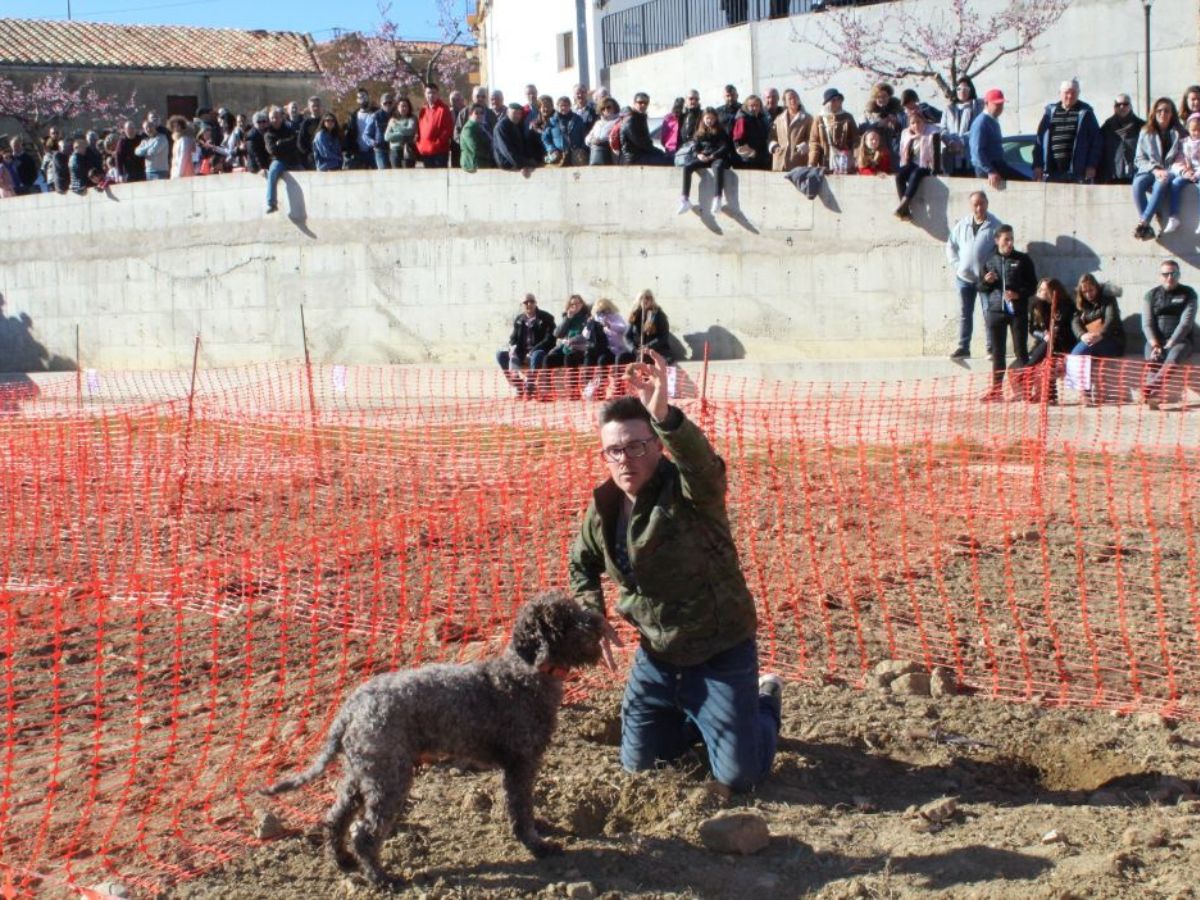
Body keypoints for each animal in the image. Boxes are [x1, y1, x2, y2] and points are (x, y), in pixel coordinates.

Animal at [260, 595, 600, 892]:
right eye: (564, 619)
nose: (597, 619)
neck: (524, 672)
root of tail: (351, 708)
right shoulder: (520, 762)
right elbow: (521, 809)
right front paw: (538, 845)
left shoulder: (521, 766)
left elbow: (524, 805)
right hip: (389, 778)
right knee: (365, 834)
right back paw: (382, 879)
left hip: (361, 773)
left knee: (336, 818)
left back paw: (343, 861)